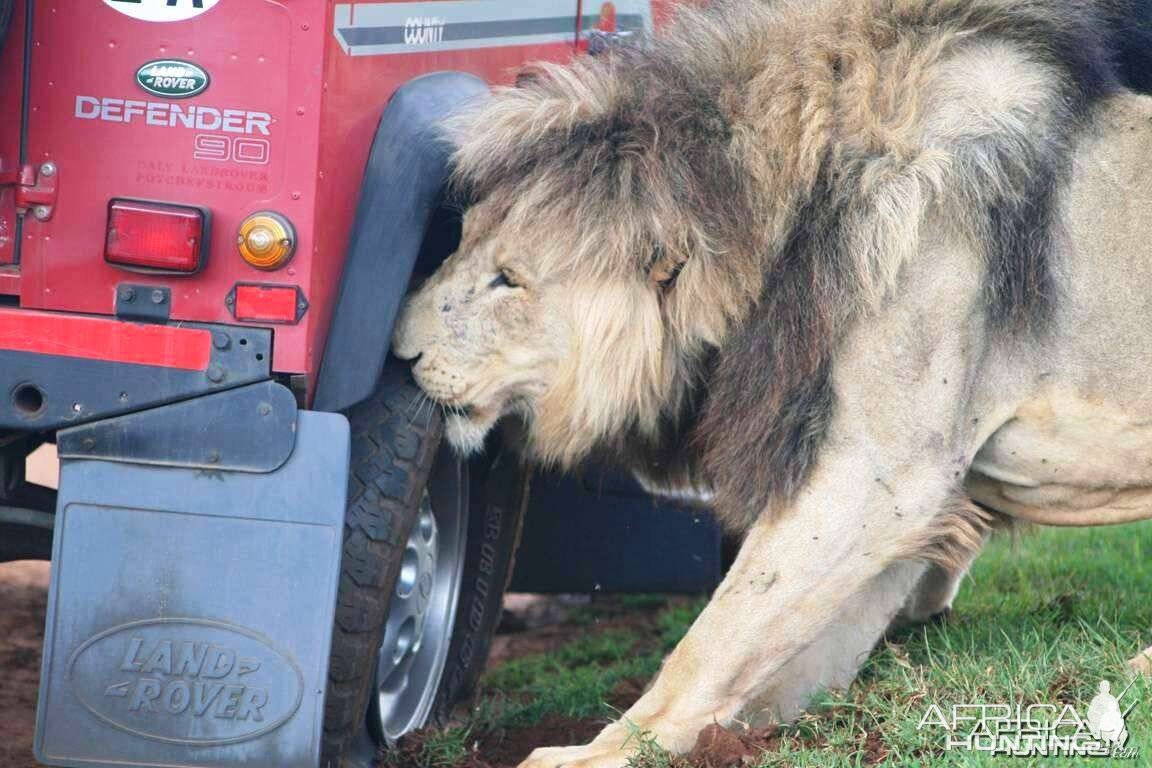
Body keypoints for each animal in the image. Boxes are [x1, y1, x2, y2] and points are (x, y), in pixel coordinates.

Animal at [393, 0, 1152, 764]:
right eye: (461, 239)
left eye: (508, 280)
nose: (398, 349)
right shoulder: (909, 507)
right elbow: (774, 658)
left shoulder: (882, 475)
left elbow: (710, 641)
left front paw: (597, 751)